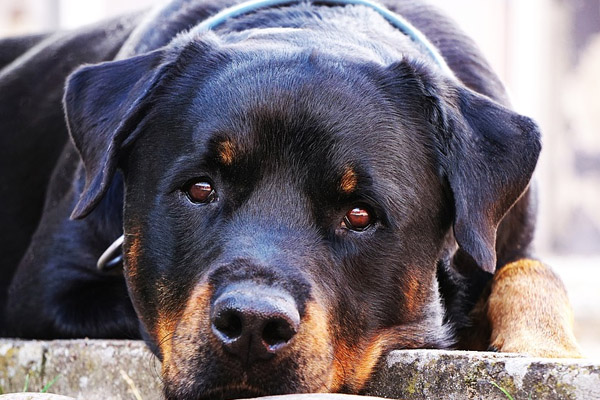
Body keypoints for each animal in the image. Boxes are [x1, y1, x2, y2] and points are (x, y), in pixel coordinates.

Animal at [0, 0, 580, 398]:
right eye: (200, 189)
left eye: (360, 214)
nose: (253, 325)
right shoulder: (51, 292)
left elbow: (531, 271)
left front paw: (546, 347)